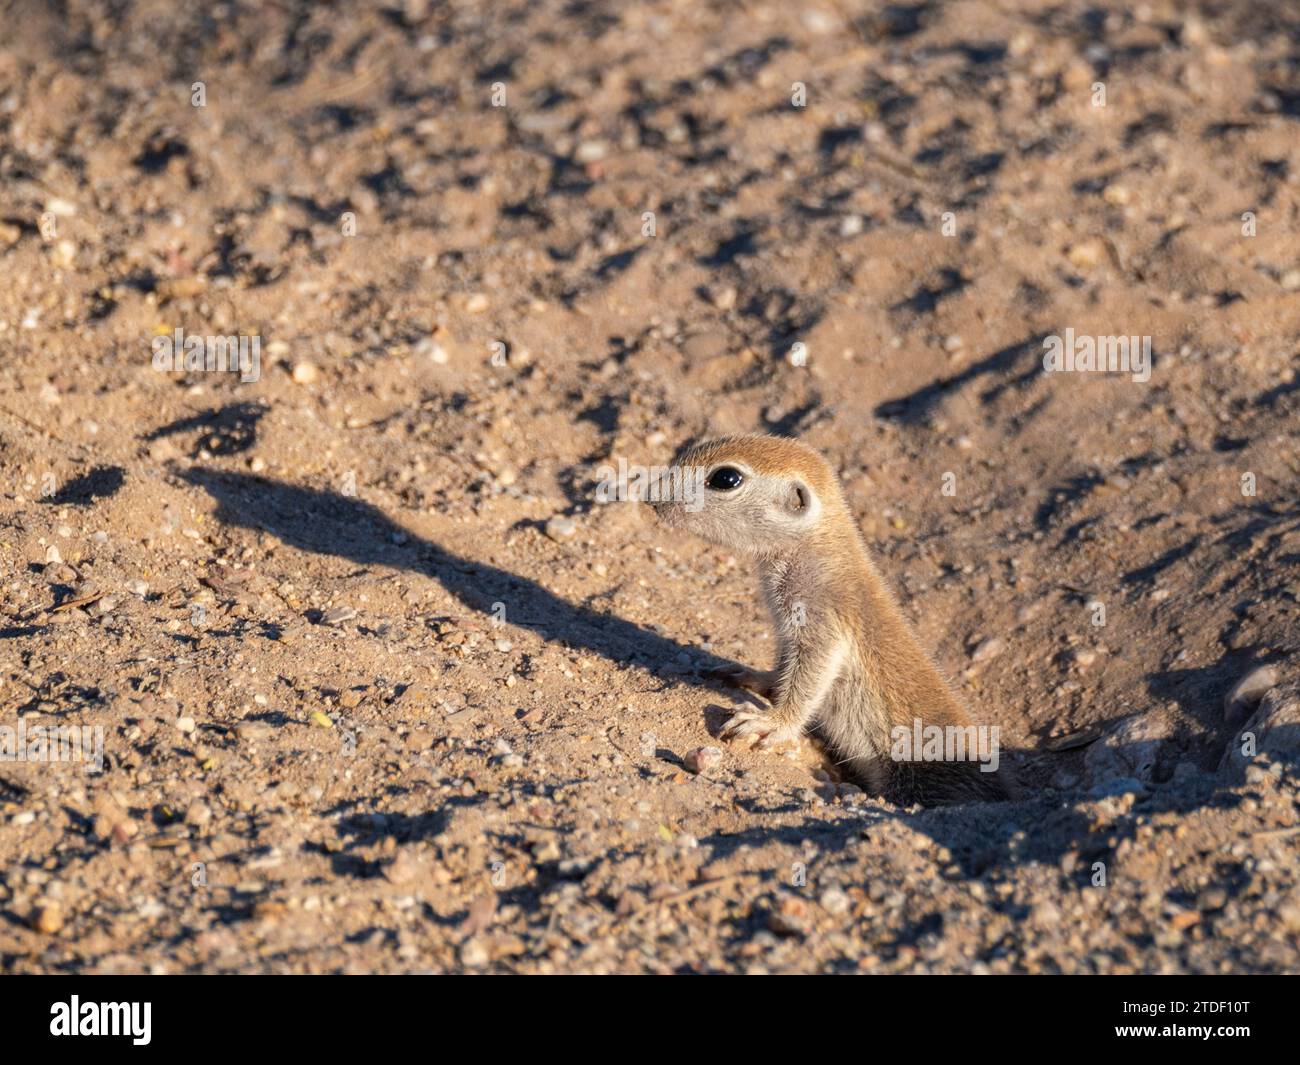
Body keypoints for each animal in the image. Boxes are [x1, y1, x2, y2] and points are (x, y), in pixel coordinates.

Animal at [655, 429, 1008, 806]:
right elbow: (784, 665)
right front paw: (754, 677)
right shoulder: (789, 628)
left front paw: (774, 722)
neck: (822, 554)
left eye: (726, 478)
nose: (653, 496)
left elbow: (812, 675)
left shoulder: (824, 618)